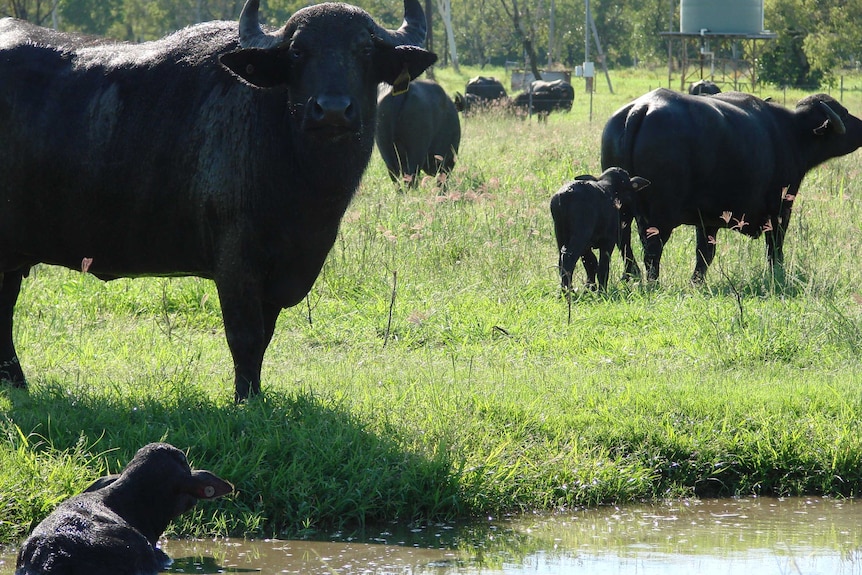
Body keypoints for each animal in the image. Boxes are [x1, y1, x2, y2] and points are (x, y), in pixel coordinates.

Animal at [0, 0, 436, 400]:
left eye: (364, 50)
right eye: (298, 51)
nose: (331, 110)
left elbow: (265, 337)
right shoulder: (236, 261)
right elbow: (245, 336)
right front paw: (245, 400)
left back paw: (16, 384)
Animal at [600, 89, 862, 284]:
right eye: (845, 113)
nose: (861, 126)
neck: (791, 134)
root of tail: (641, 108)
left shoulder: (706, 219)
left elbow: (704, 253)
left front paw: (696, 282)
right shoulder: (779, 209)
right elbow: (774, 248)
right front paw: (777, 275)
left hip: (624, 211)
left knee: (624, 241)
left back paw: (631, 275)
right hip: (660, 215)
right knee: (652, 248)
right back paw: (653, 282)